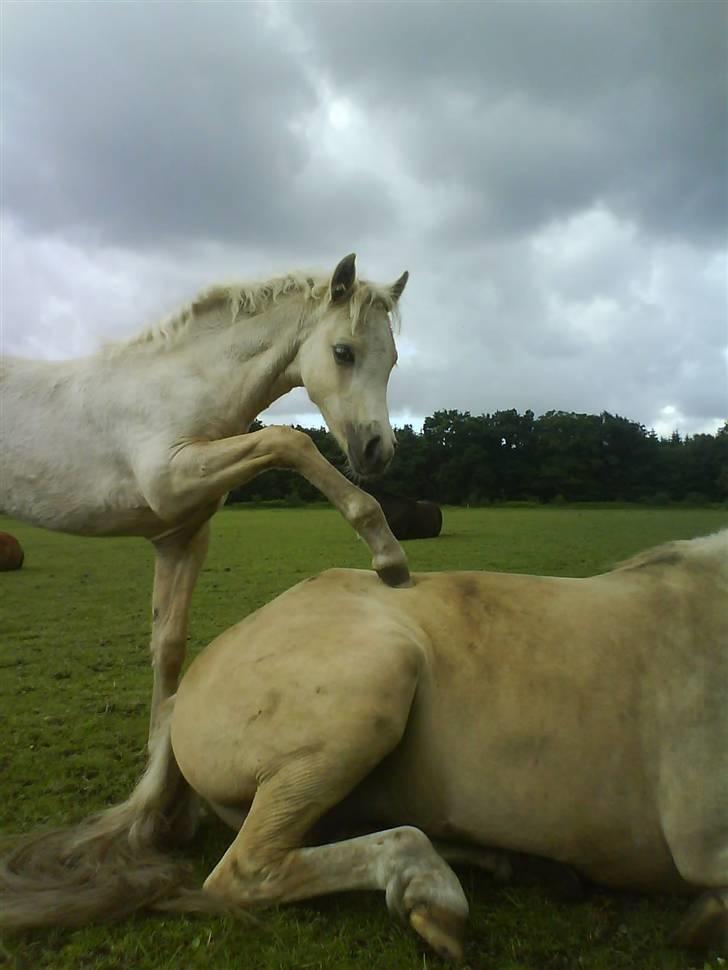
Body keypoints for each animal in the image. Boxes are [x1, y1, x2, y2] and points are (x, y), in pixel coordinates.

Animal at [0, 251, 410, 748]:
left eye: (392, 360)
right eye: (343, 352)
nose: (377, 450)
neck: (179, 387)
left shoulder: (180, 537)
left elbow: (168, 648)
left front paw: (158, 752)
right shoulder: (169, 481)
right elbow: (288, 441)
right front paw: (388, 554)